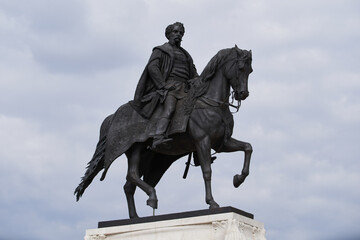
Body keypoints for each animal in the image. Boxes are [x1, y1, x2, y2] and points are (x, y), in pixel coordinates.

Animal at [74, 45, 253, 219]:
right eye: (240, 68)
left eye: (250, 70)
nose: (243, 94)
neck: (212, 104)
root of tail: (113, 117)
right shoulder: (203, 141)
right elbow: (207, 171)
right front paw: (212, 202)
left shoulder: (222, 142)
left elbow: (247, 148)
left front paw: (238, 179)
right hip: (135, 147)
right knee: (132, 175)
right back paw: (152, 197)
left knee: (129, 184)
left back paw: (135, 217)